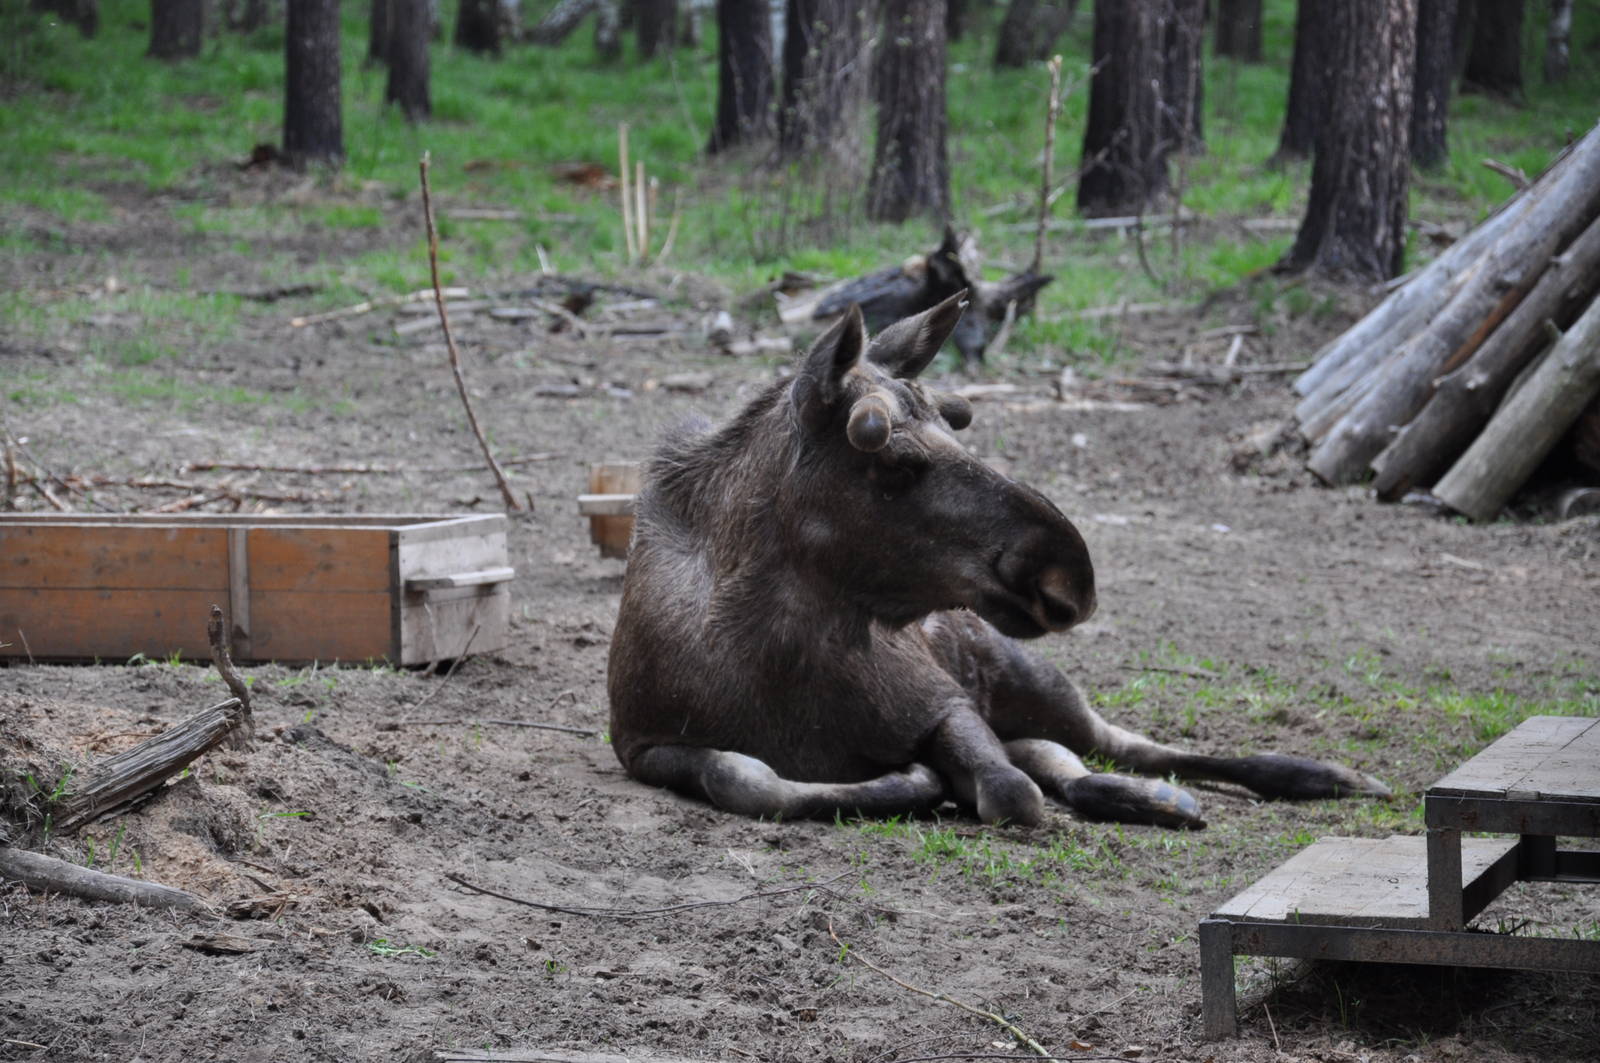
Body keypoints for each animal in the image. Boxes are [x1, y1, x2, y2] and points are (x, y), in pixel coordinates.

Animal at [606, 295, 1390, 828]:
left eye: (956, 424)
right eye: (895, 462)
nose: (1070, 575)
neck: (776, 654)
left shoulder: (943, 700)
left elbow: (1011, 790)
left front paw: (926, 780)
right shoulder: (643, 743)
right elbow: (748, 778)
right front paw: (905, 783)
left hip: (1031, 675)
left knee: (1127, 745)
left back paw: (1320, 775)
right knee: (1061, 761)